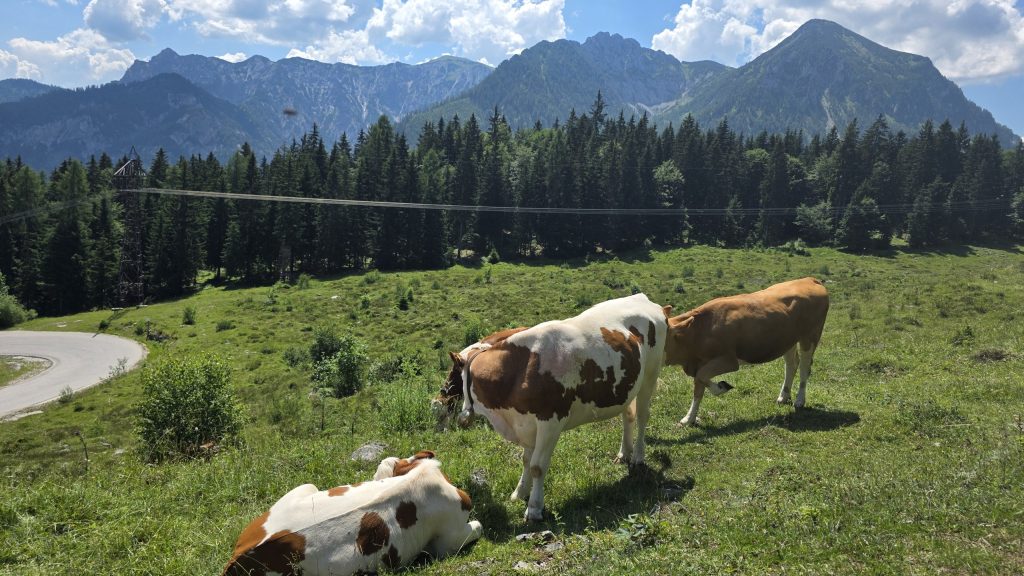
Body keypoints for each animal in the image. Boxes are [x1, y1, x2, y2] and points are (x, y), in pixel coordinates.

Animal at [436, 293, 669, 522]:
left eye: (453, 373)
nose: (441, 396)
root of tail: (645, 299)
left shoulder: (550, 422)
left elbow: (537, 466)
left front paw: (534, 508)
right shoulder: (525, 423)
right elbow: (526, 460)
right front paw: (519, 492)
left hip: (650, 375)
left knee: (642, 416)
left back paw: (638, 456)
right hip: (627, 386)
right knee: (628, 416)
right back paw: (624, 453)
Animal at [664, 277, 829, 426]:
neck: (698, 329)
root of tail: (809, 279)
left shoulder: (728, 360)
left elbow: (701, 377)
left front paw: (721, 387)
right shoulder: (698, 363)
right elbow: (698, 387)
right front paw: (689, 419)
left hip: (810, 336)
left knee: (804, 366)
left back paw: (800, 400)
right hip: (788, 340)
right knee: (792, 364)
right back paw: (784, 396)